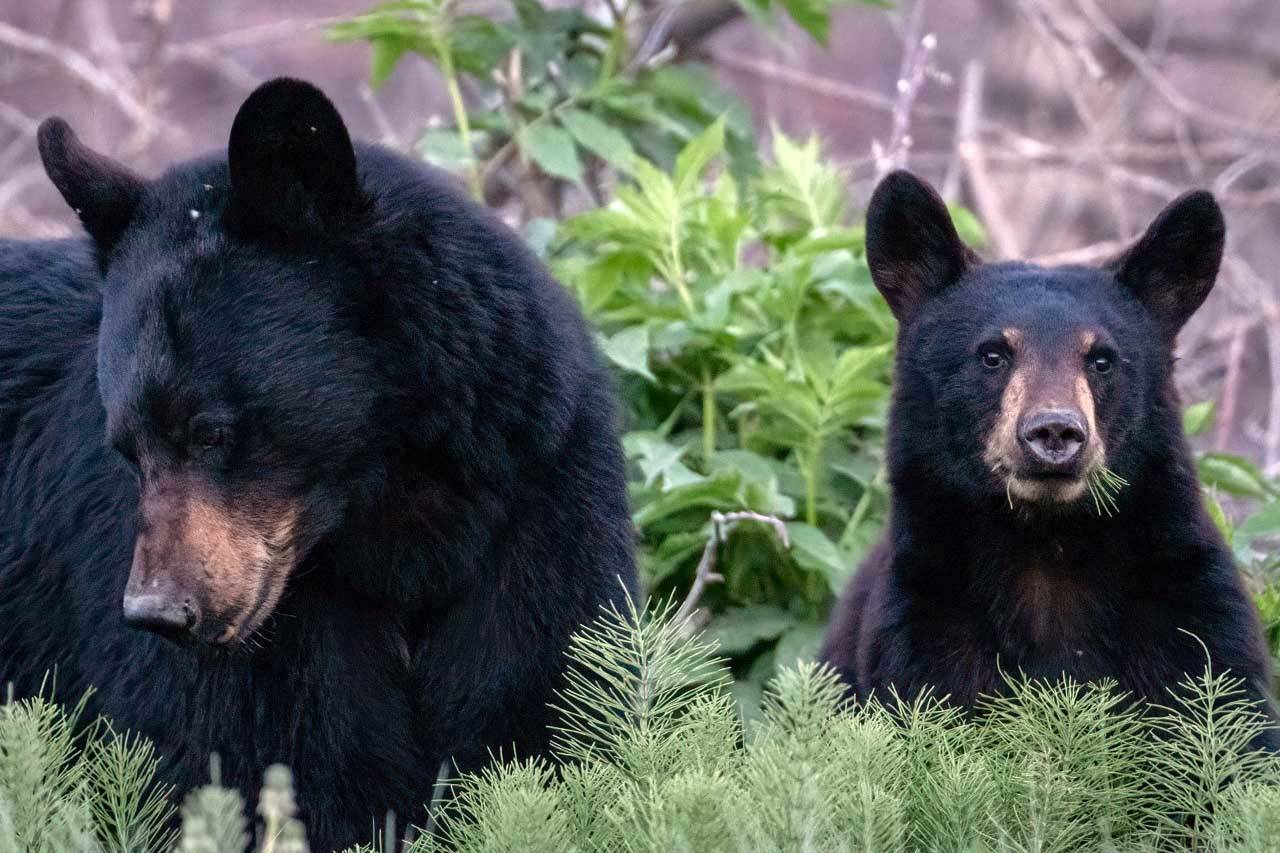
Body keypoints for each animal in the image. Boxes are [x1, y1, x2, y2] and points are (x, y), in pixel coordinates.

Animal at [0, 78, 637, 845]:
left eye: (212, 431)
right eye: (126, 447)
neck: (397, 519)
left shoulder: (538, 508)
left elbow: (537, 712)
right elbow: (270, 764)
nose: (158, 612)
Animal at [819, 169, 1280, 742]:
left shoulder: (1192, 615)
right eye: (993, 354)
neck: (1048, 545)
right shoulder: (923, 621)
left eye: (1102, 359)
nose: (1055, 431)